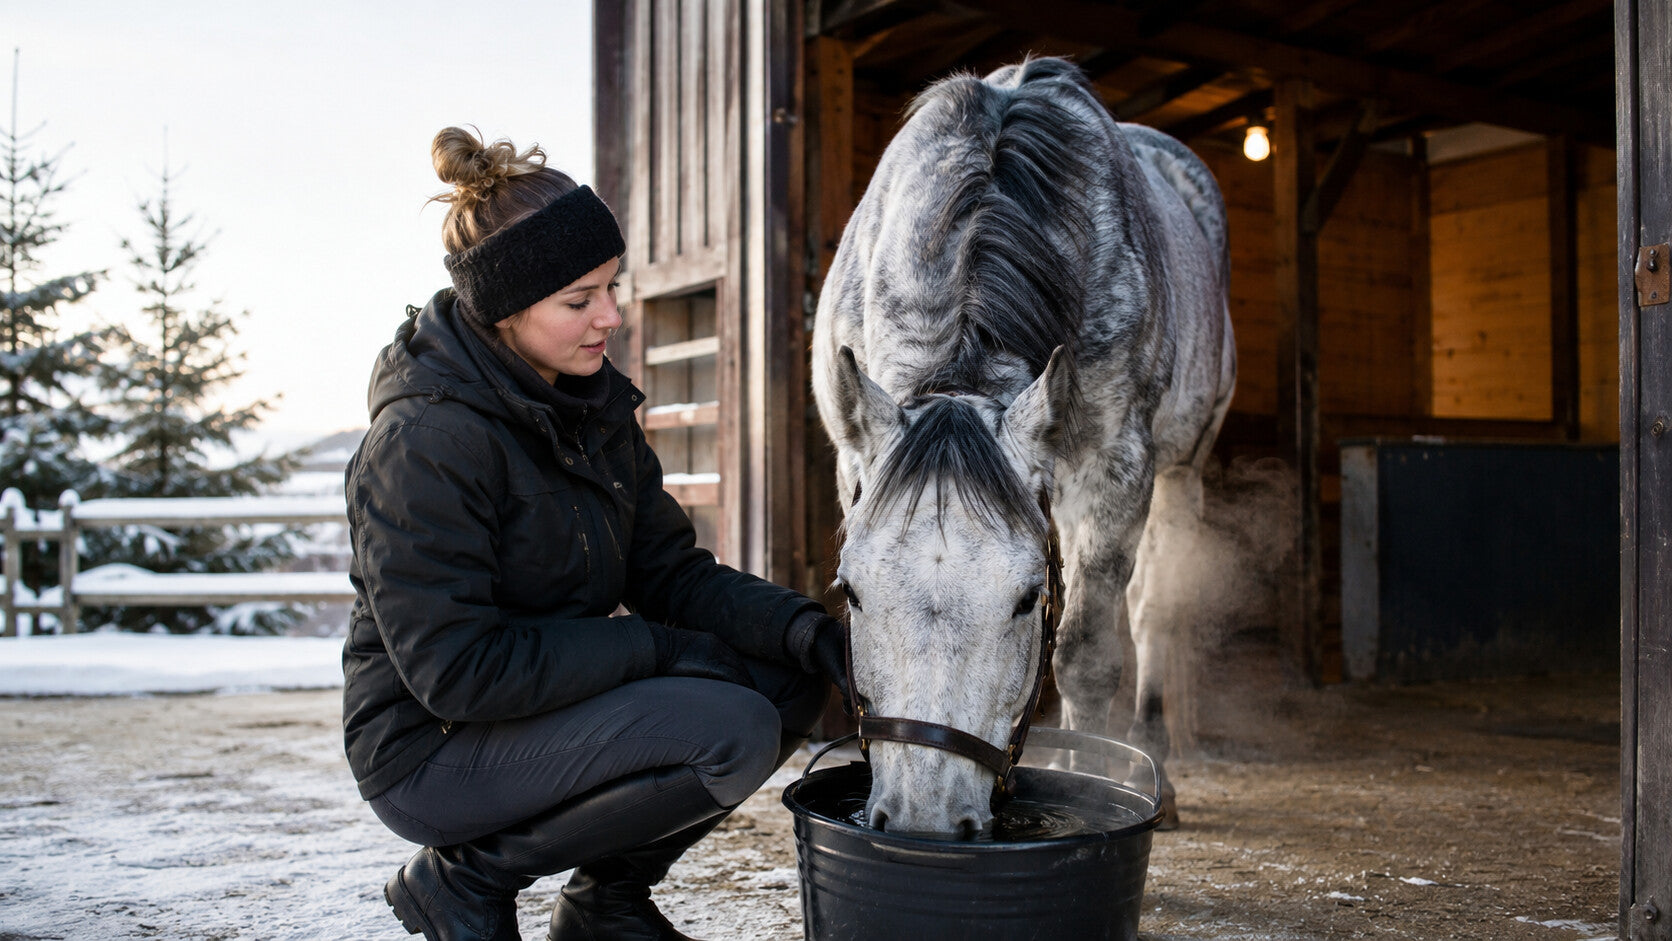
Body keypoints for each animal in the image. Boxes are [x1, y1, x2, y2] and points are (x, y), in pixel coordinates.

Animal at [810, 57, 1235, 836]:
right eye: (849, 590)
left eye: (1025, 598)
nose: (924, 820)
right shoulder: (850, 460)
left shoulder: (1116, 470)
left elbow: (1088, 654)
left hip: (1182, 472)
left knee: (1153, 609)